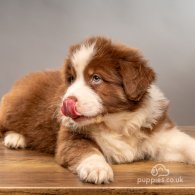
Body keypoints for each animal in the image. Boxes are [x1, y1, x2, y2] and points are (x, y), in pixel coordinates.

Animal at [0, 36, 195, 184]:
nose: (66, 102)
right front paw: (97, 168)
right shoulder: (71, 136)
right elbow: (87, 150)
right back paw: (15, 138)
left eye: (96, 78)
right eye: (71, 79)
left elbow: (184, 142)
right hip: (13, 107)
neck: (115, 122)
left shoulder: (160, 134)